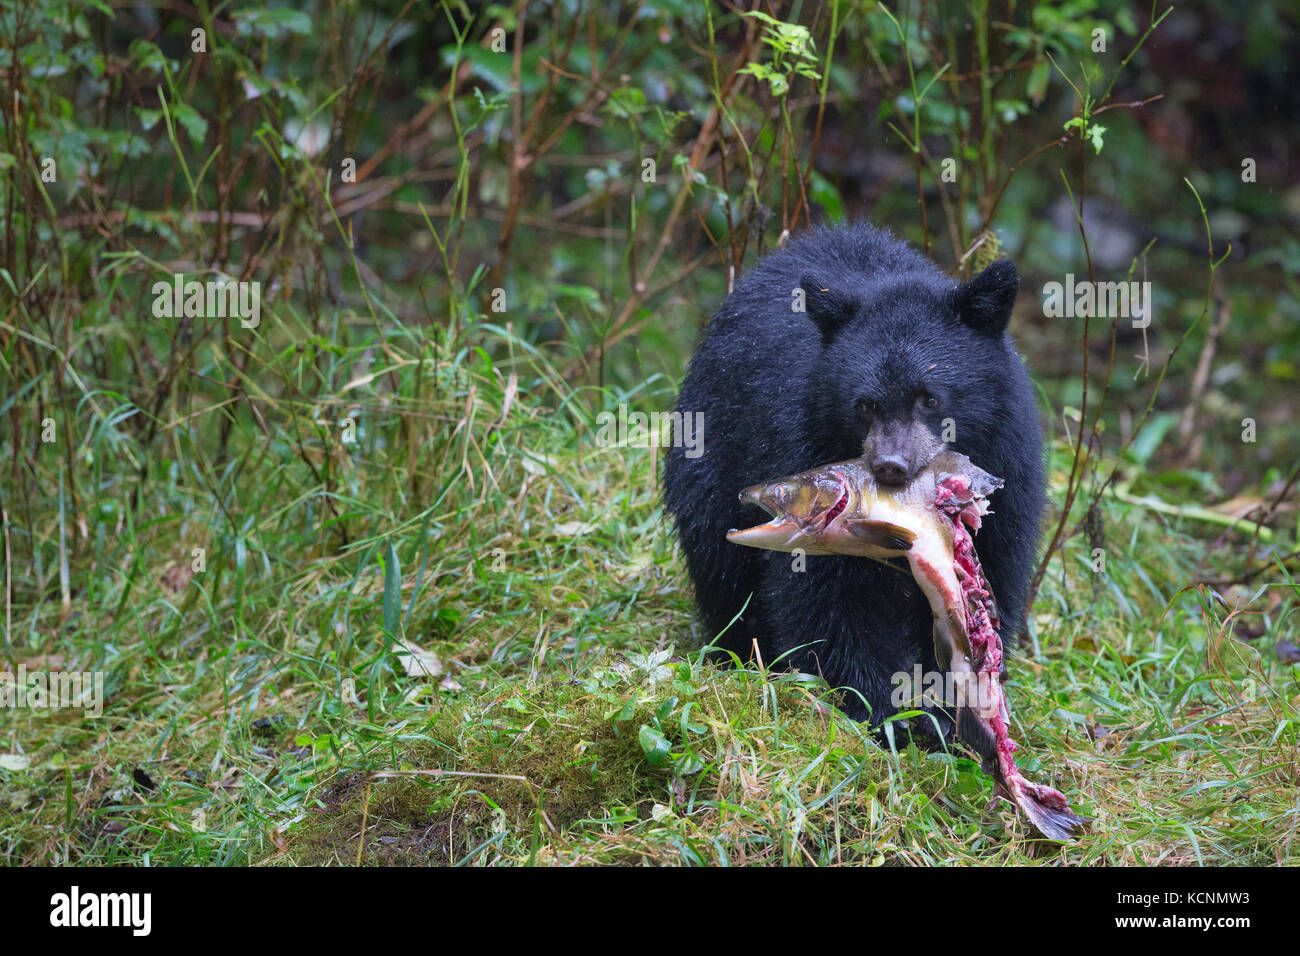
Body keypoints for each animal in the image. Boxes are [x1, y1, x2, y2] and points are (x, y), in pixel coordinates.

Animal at [665, 221, 1040, 749]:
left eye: (930, 398)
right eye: (863, 405)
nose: (891, 467)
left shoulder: (1008, 456)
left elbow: (996, 572)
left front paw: (951, 712)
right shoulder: (801, 441)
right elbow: (826, 596)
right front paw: (884, 714)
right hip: (710, 453)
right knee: (720, 563)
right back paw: (736, 651)